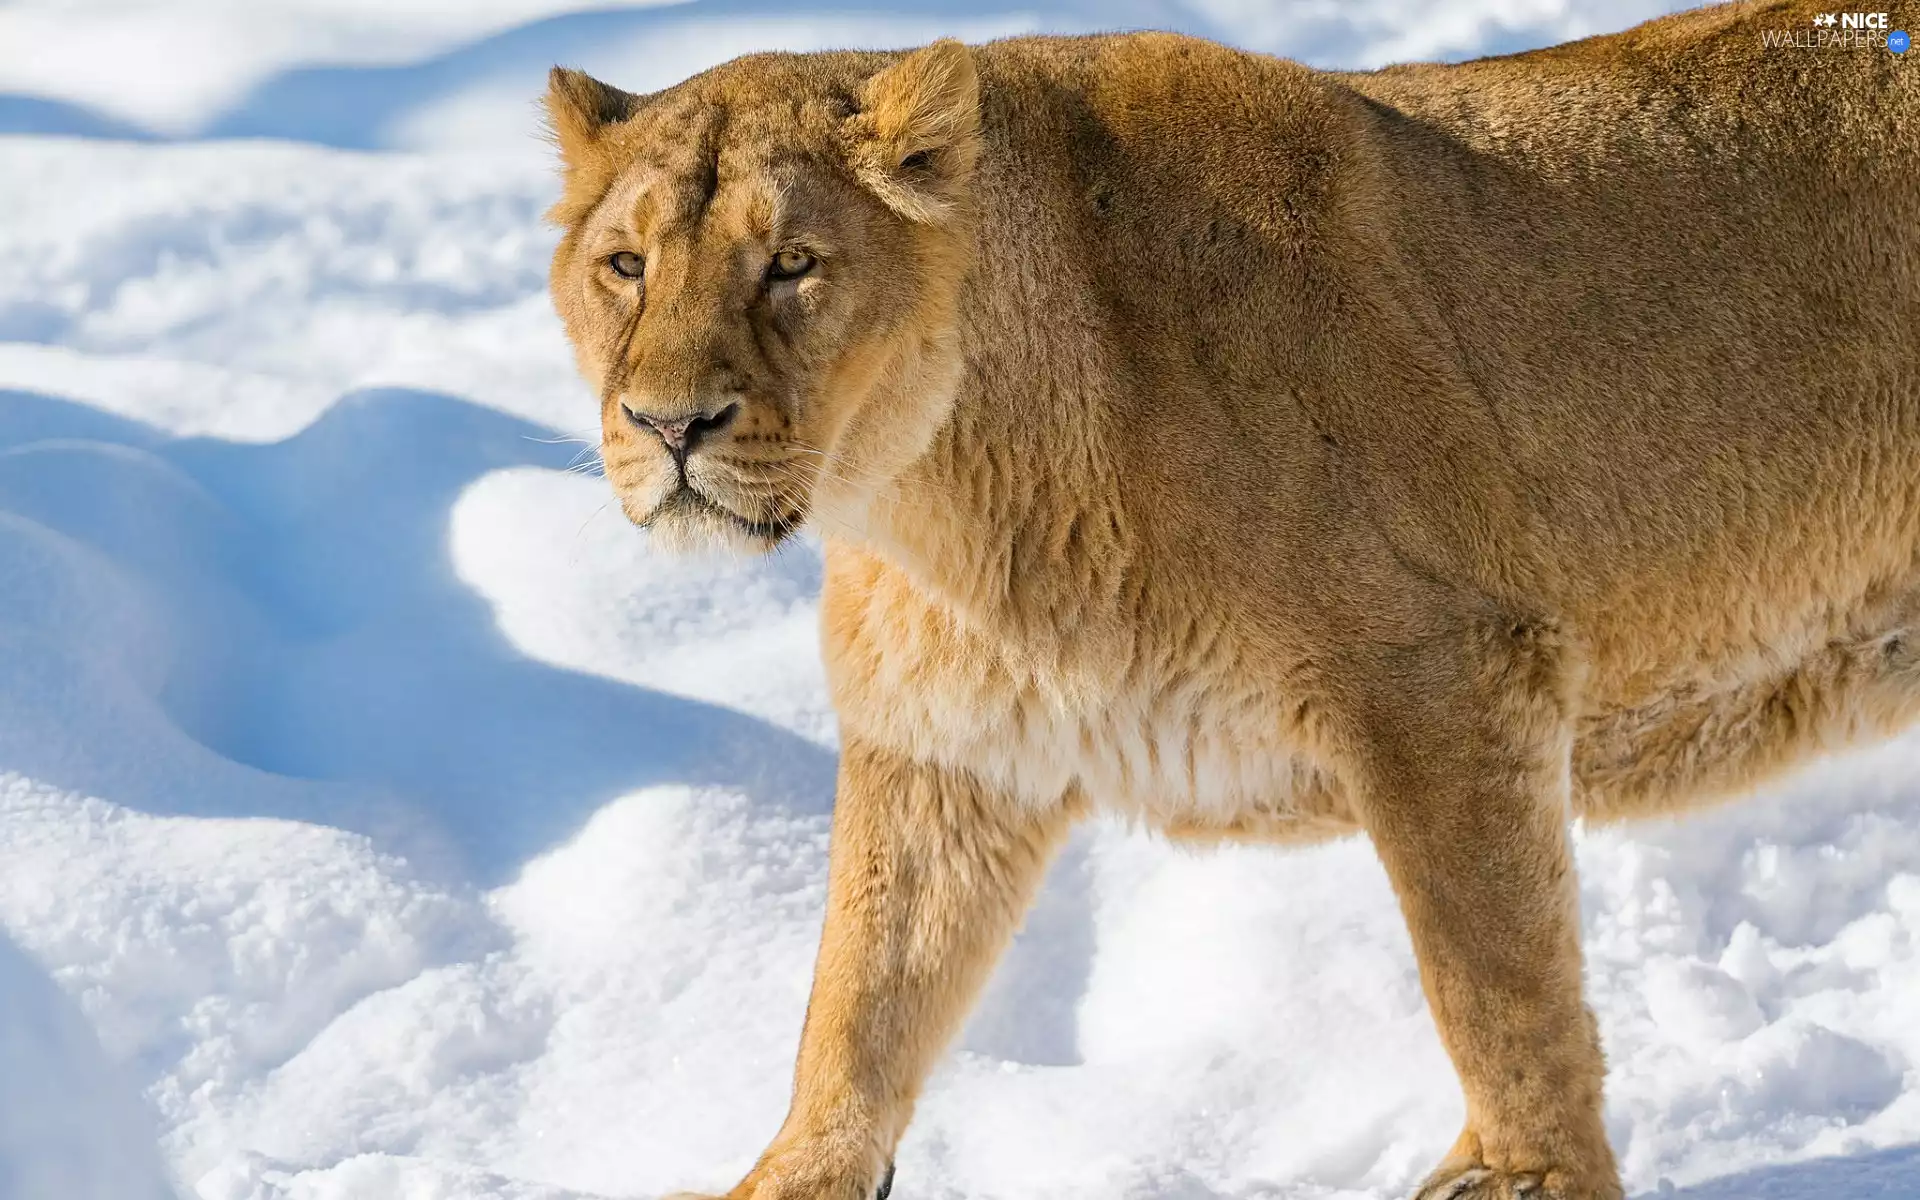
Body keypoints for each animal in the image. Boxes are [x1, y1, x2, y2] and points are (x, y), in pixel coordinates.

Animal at [541, 3, 1920, 1196]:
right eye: (625, 265)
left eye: (792, 264)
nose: (668, 426)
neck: (932, 499)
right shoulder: (949, 744)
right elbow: (861, 996)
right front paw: (800, 1174)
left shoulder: (1448, 671)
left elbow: (1493, 974)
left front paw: (1531, 1176)